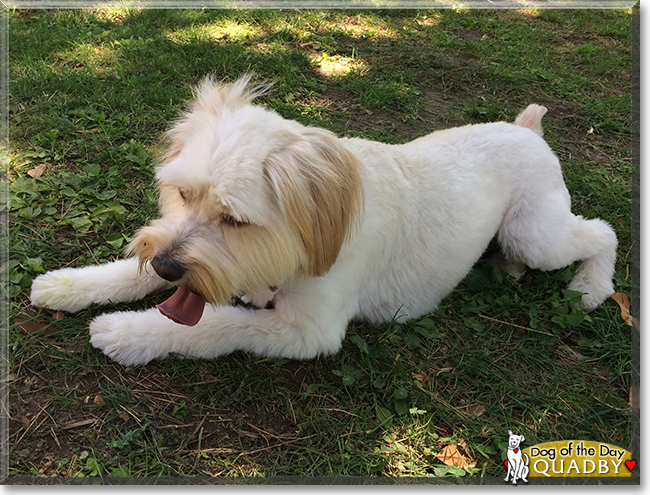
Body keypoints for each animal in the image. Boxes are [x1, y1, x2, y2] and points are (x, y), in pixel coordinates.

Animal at [30, 75, 616, 366]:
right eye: (181, 192)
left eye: (235, 221)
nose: (169, 268)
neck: (312, 227)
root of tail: (526, 129)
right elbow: (139, 273)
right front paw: (70, 285)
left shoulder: (307, 331)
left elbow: (214, 325)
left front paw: (129, 332)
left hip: (536, 232)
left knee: (600, 232)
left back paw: (589, 286)